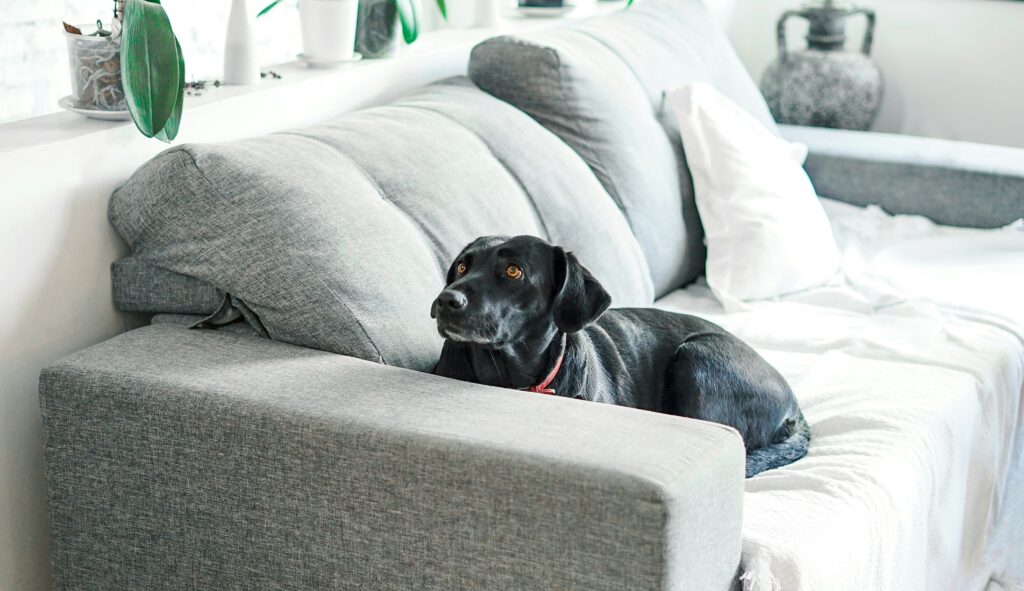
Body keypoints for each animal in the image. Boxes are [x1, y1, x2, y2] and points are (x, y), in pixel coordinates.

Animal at [432, 233, 806, 475]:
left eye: (514, 271)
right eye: (462, 267)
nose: (446, 299)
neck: (514, 378)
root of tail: (795, 406)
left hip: (697, 356)